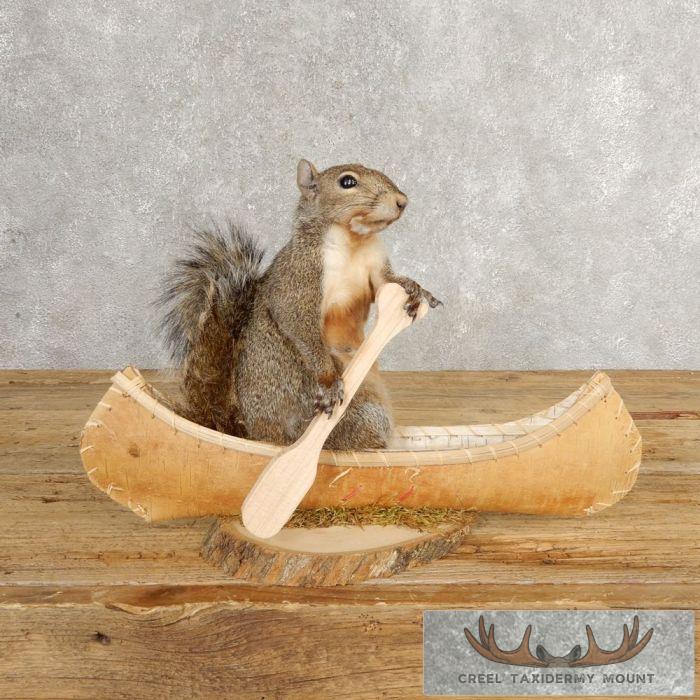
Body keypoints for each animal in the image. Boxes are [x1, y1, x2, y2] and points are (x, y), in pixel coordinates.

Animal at [159, 159, 440, 450]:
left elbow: (388, 284)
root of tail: (259, 435)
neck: (354, 241)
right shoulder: (300, 277)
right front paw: (329, 383)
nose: (402, 201)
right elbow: (296, 321)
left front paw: (416, 289)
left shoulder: (376, 265)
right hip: (360, 413)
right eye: (347, 182)